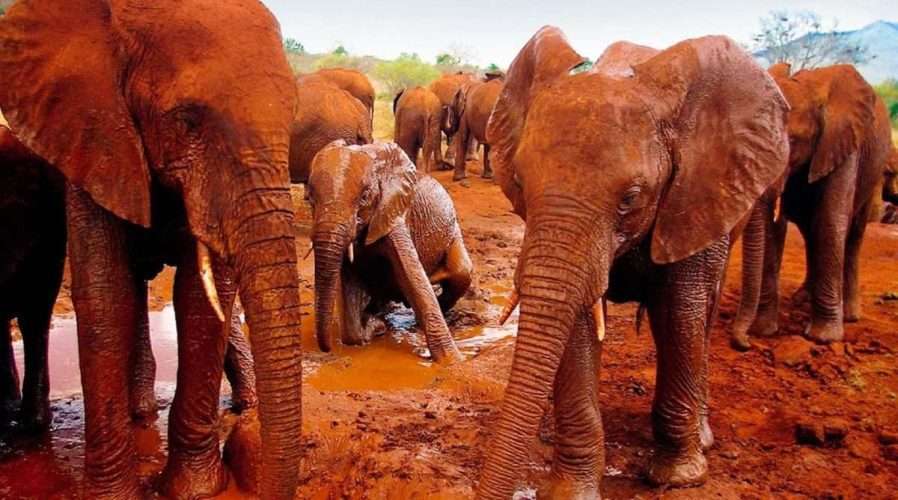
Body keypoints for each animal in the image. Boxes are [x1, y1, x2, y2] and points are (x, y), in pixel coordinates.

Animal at [0, 0, 303, 498]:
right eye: (186, 120)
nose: (250, 446)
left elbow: (200, 300)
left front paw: (195, 489)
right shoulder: (92, 131)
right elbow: (106, 294)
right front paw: (114, 495)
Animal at [307, 141, 472, 363]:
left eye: (364, 197)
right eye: (310, 199)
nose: (326, 349)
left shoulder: (393, 214)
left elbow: (415, 280)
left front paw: (453, 362)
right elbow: (349, 295)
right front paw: (373, 328)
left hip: (454, 232)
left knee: (462, 273)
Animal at [476, 27, 789, 499]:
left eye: (631, 199)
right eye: (520, 183)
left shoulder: (695, 193)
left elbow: (678, 312)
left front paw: (680, 477)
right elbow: (579, 322)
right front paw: (571, 491)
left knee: (702, 316)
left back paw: (703, 436)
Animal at [729, 63, 893, 350]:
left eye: (793, 142)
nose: (744, 342)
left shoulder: (843, 142)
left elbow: (830, 221)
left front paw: (823, 337)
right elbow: (773, 231)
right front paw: (763, 331)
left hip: (873, 171)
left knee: (852, 233)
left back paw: (849, 315)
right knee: (809, 231)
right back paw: (802, 299)